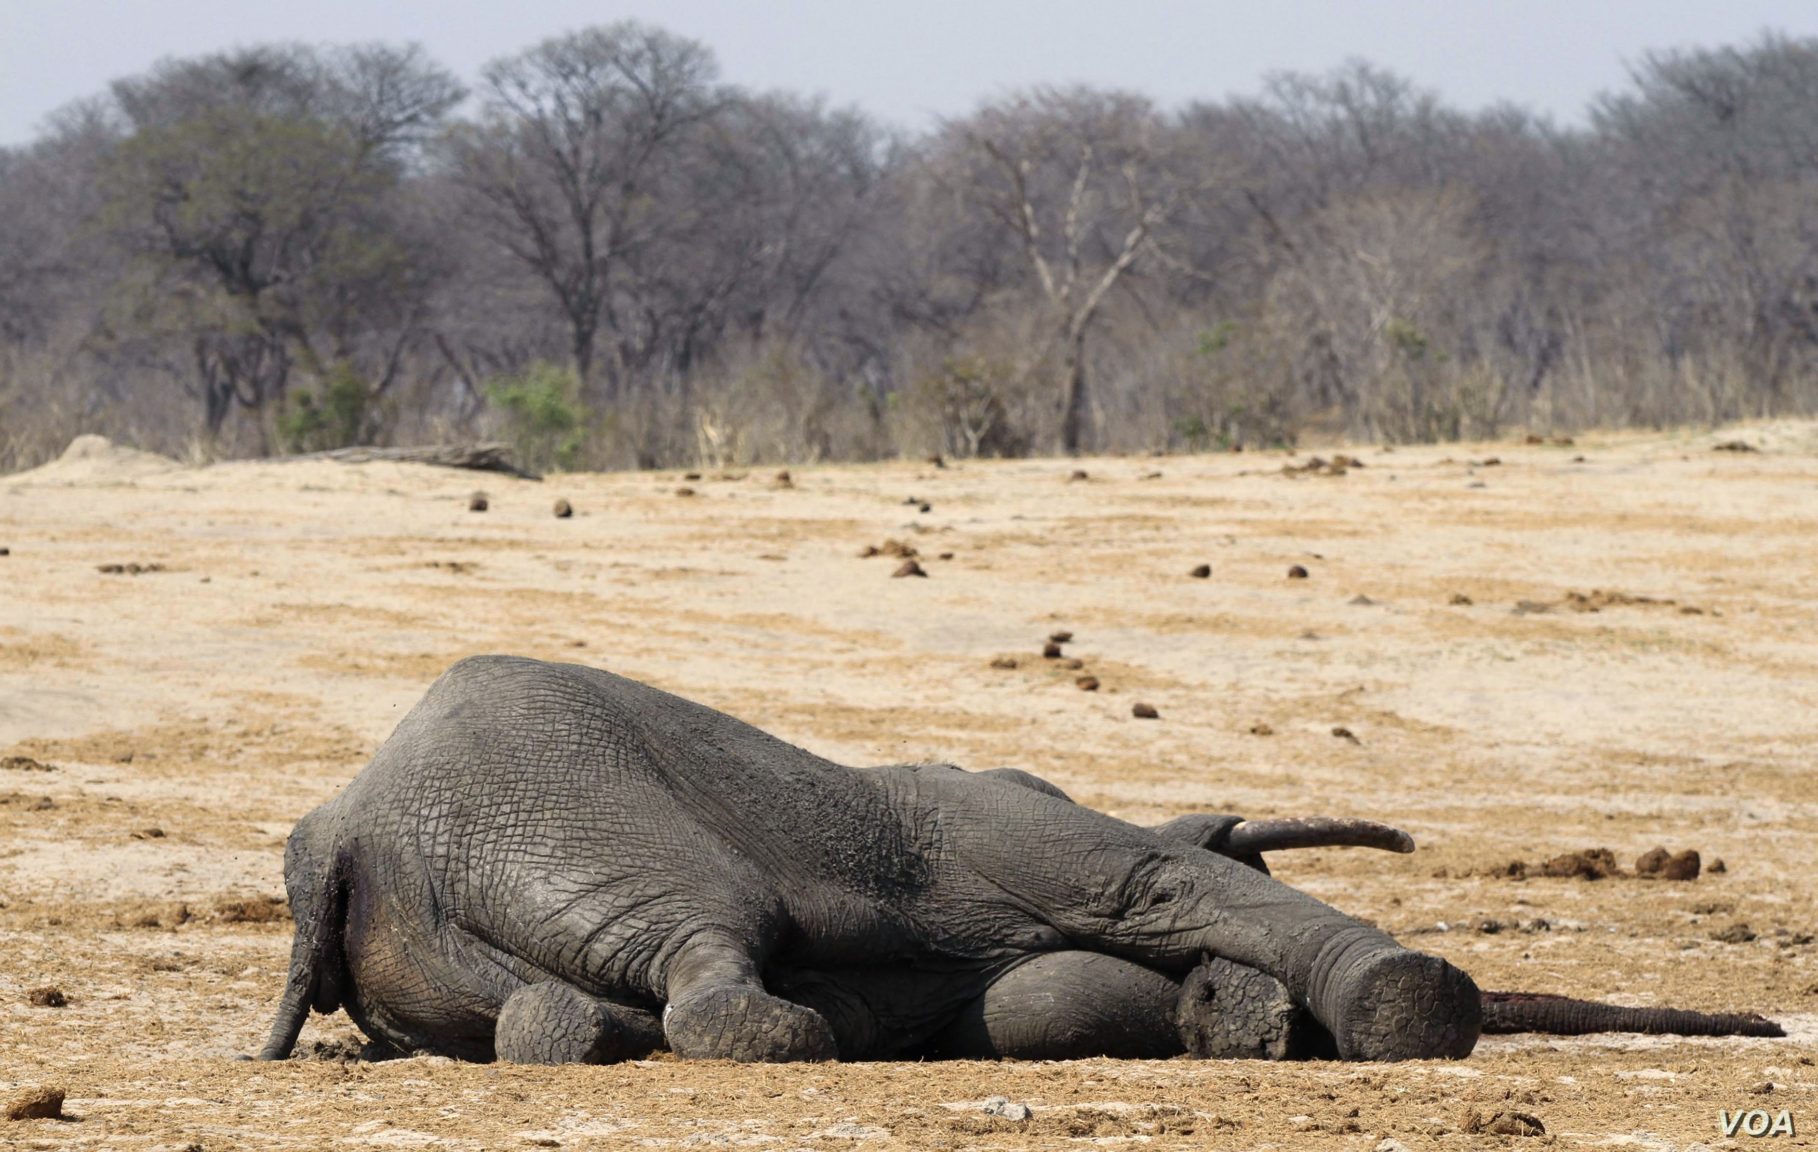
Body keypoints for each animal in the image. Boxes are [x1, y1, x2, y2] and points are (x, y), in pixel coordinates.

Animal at [256, 650, 1774, 1061]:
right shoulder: (985, 825)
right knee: (712, 945)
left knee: (561, 1001)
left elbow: (1039, 1000)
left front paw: (1237, 1021)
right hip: (549, 790)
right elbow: (1148, 887)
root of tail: (341, 830)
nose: (1762, 1027)